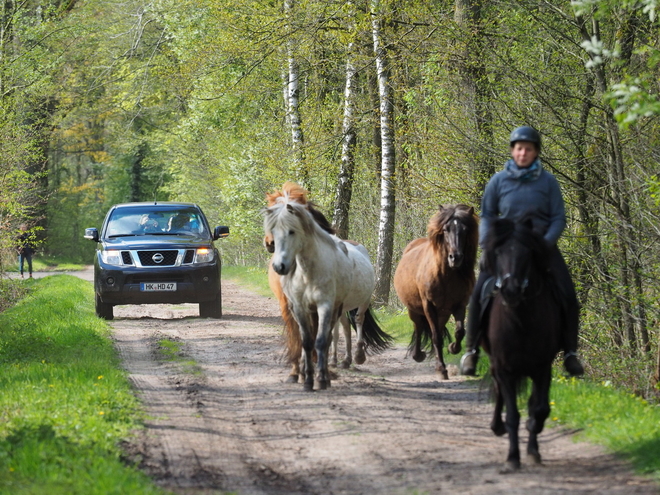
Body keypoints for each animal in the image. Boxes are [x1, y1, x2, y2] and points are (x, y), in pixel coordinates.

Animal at [262, 198, 390, 392]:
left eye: (292, 231)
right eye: (273, 231)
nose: (279, 266)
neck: (308, 272)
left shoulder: (325, 306)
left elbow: (321, 341)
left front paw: (322, 378)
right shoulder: (300, 308)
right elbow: (306, 341)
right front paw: (307, 379)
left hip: (360, 302)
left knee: (357, 321)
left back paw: (357, 356)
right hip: (338, 308)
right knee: (343, 328)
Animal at [392, 204, 480, 380]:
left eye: (465, 230)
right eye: (446, 229)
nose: (455, 258)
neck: (446, 276)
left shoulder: (459, 305)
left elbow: (460, 331)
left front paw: (453, 348)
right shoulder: (429, 306)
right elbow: (436, 337)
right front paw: (441, 369)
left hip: (443, 314)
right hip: (414, 310)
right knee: (418, 327)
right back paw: (418, 355)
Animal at [480, 217, 564, 472]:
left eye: (527, 253)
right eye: (498, 252)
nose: (511, 290)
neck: (521, 321)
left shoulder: (543, 368)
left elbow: (538, 408)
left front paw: (533, 448)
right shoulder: (505, 369)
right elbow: (513, 415)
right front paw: (512, 458)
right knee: (498, 390)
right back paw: (497, 426)